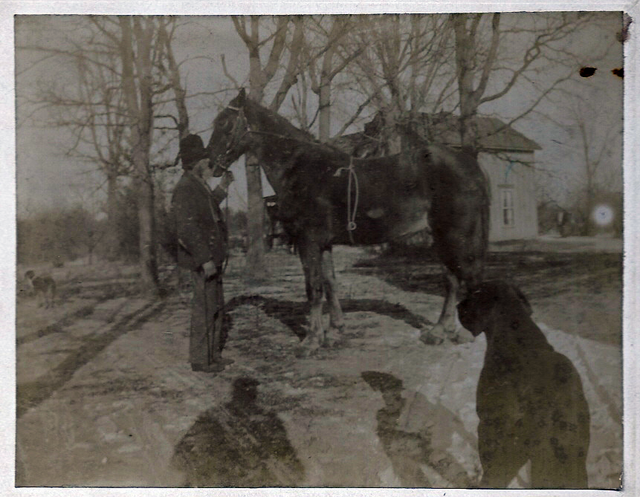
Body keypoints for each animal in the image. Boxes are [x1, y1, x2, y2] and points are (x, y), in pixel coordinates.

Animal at [208, 88, 488, 352]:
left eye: (225, 123)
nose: (211, 164)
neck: (301, 167)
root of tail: (469, 164)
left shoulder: (307, 240)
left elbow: (313, 287)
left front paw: (311, 340)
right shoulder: (324, 243)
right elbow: (330, 283)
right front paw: (334, 331)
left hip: (452, 235)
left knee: (459, 278)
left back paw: (448, 332)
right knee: (453, 278)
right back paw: (442, 331)